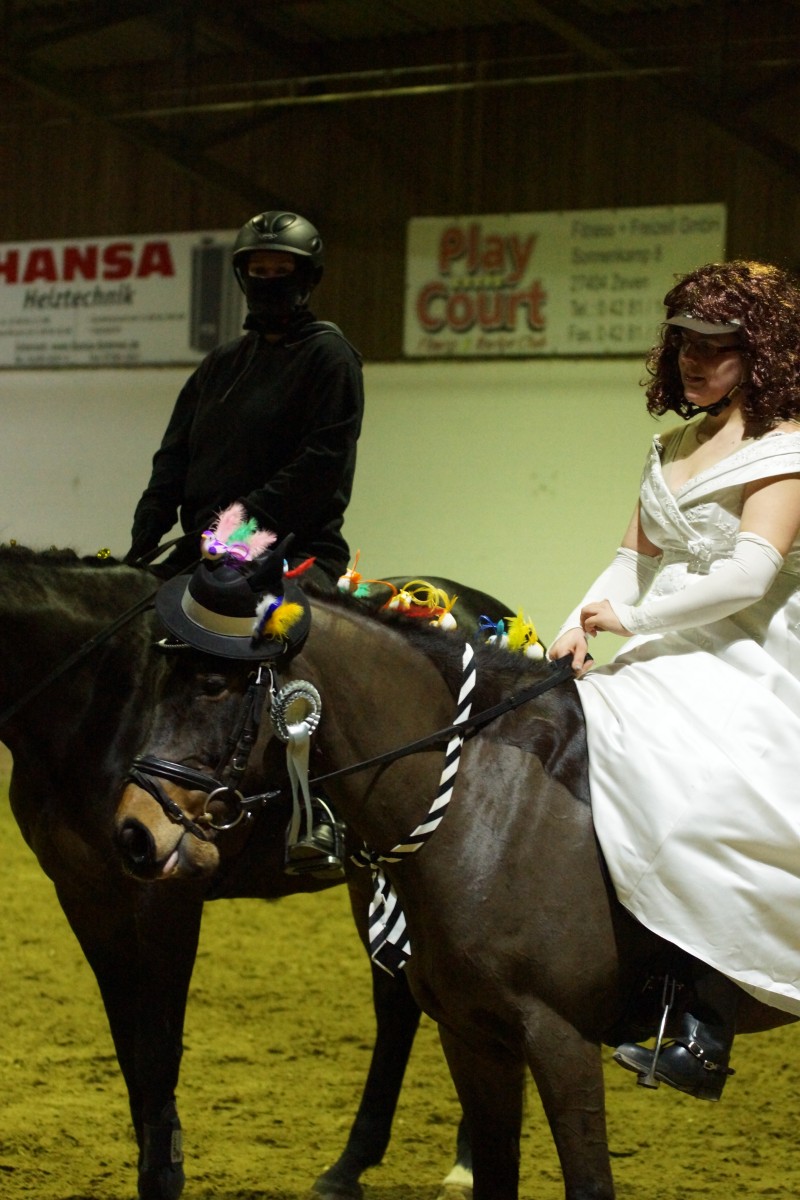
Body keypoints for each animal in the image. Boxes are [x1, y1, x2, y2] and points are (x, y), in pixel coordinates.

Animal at [0, 544, 507, 1200]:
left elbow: (157, 1047)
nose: (137, 833)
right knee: (398, 1001)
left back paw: (464, 1164)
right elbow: (129, 1046)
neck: (94, 695)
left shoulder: (165, 895)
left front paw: (163, 1173)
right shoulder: (85, 895)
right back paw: (352, 1165)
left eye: (215, 686)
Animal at [117, 584, 799, 1200]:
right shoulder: (473, 1033)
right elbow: (494, 1176)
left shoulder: (562, 1039)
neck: (490, 809)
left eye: (213, 685)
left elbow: (588, 1183)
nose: (133, 833)